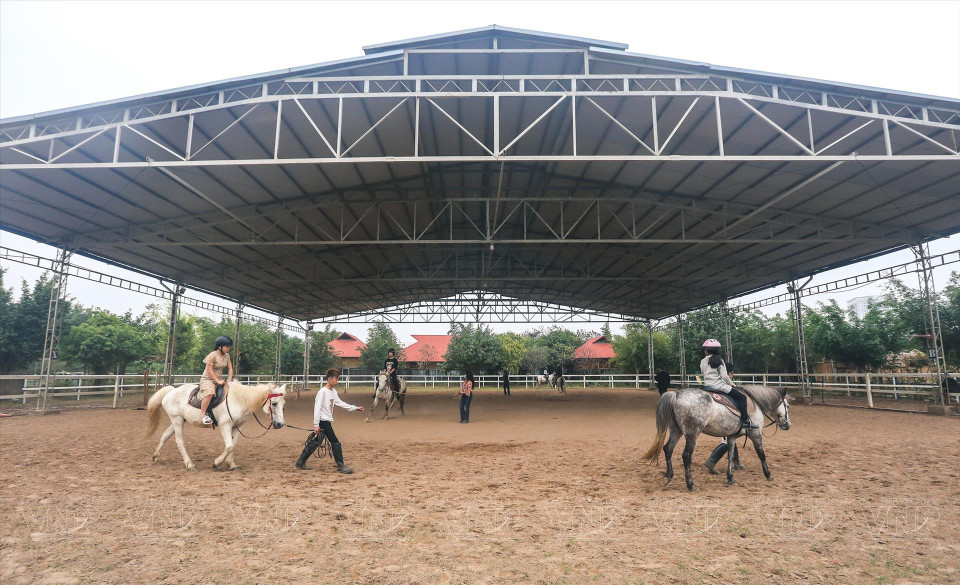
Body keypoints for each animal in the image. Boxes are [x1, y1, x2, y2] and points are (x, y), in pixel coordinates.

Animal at [144, 380, 284, 472]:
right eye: (274, 403)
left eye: (283, 404)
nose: (280, 424)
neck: (239, 399)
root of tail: (171, 391)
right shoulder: (225, 426)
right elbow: (229, 446)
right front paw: (217, 463)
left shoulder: (237, 427)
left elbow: (233, 446)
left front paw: (232, 465)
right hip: (177, 420)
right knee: (179, 442)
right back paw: (189, 464)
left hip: (179, 420)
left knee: (165, 436)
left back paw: (156, 456)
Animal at [640, 386, 792, 490]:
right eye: (787, 406)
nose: (788, 425)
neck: (754, 404)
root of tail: (676, 394)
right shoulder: (756, 434)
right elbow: (761, 454)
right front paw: (768, 475)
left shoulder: (731, 437)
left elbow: (730, 455)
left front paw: (730, 478)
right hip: (692, 434)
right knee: (686, 455)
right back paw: (690, 484)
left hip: (676, 431)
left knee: (668, 449)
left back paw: (668, 476)